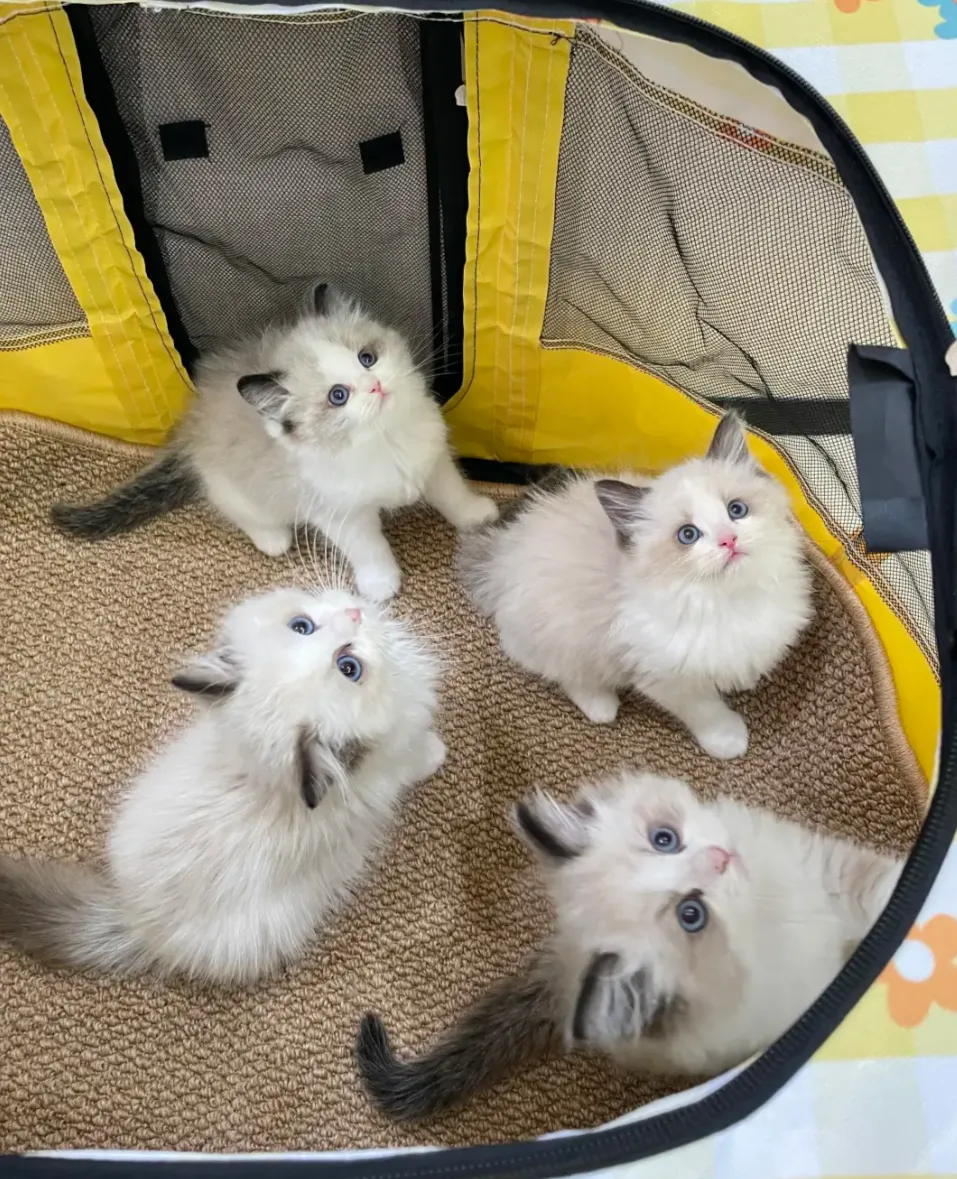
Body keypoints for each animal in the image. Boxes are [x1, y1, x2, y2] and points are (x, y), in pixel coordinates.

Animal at [0, 586, 444, 986]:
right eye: (304, 628)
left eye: (347, 664)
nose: (355, 612)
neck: (262, 779)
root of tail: (138, 919)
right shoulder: (393, 766)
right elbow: (418, 757)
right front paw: (438, 750)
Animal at [51, 283, 498, 602]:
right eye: (339, 396)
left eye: (367, 358)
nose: (374, 386)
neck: (384, 439)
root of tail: (193, 426)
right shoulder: (341, 513)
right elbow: (369, 548)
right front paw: (381, 585)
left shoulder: (432, 461)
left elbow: (452, 494)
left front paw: (477, 515)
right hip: (237, 491)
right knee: (244, 513)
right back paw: (272, 540)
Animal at [356, 770, 903, 1122]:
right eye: (690, 915)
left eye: (665, 839)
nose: (722, 857)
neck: (766, 907)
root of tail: (564, 974)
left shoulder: (825, 869)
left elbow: (880, 886)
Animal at [457, 412, 812, 758]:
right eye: (688, 535)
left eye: (736, 510)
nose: (729, 540)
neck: (726, 597)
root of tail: (502, 557)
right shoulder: (663, 676)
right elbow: (704, 710)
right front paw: (727, 739)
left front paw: (741, 679)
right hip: (563, 638)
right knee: (565, 673)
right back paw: (601, 706)